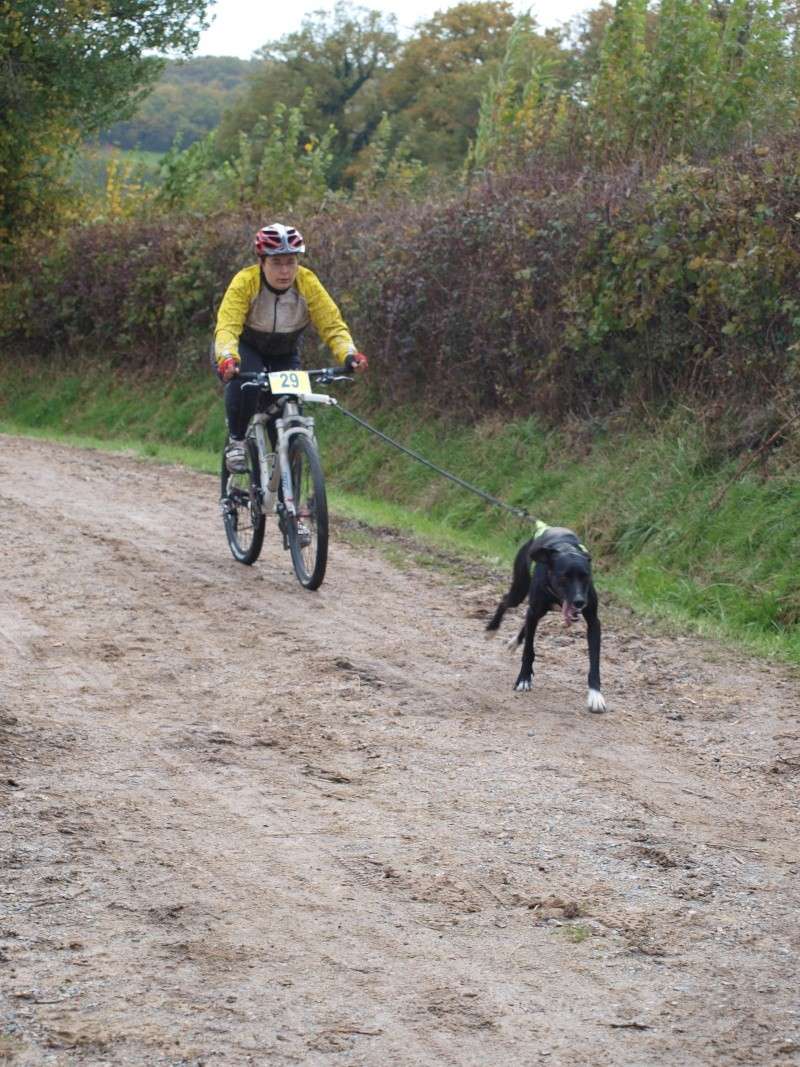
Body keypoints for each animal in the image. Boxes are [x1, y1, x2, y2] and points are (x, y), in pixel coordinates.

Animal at [482, 522, 605, 712]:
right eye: (564, 577)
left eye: (586, 576)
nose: (579, 602)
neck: (565, 549)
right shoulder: (534, 610)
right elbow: (528, 650)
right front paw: (524, 678)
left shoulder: (593, 622)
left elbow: (594, 661)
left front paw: (595, 695)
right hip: (520, 590)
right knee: (505, 602)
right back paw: (492, 629)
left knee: (527, 621)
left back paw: (514, 641)